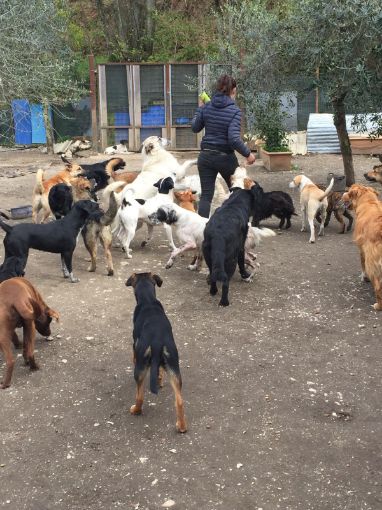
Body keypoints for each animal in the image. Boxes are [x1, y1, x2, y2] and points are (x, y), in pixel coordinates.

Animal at [125, 272, 187, 432]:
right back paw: (182, 426)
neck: (148, 301)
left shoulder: (135, 345)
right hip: (174, 367)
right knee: (179, 401)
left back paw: (135, 410)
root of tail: (157, 341)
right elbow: (158, 371)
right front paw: (159, 380)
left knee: (140, 396)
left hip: (140, 368)